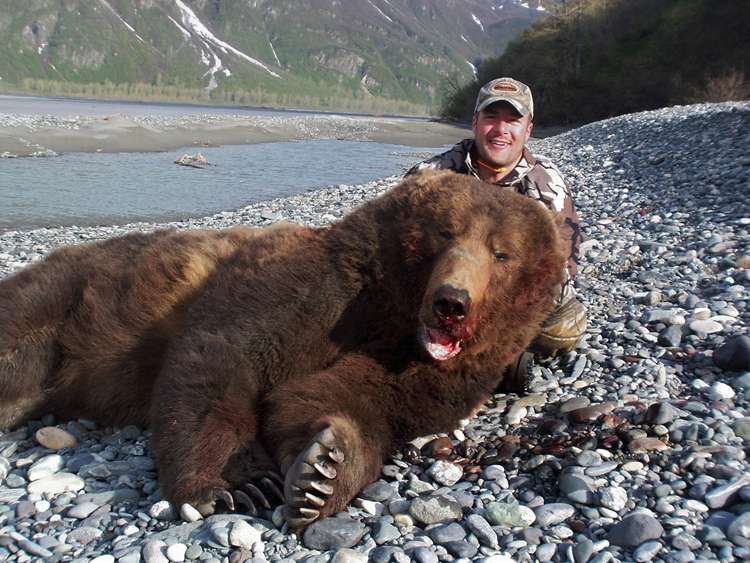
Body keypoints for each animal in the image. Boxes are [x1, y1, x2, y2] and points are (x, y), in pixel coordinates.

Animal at [0, 170, 565, 530]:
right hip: (66, 299)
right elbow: (226, 354)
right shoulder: (320, 283)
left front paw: (323, 472)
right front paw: (236, 482)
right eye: (444, 232)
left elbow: (349, 403)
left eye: (502, 254)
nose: (452, 302)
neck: (394, 312)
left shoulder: (433, 369)